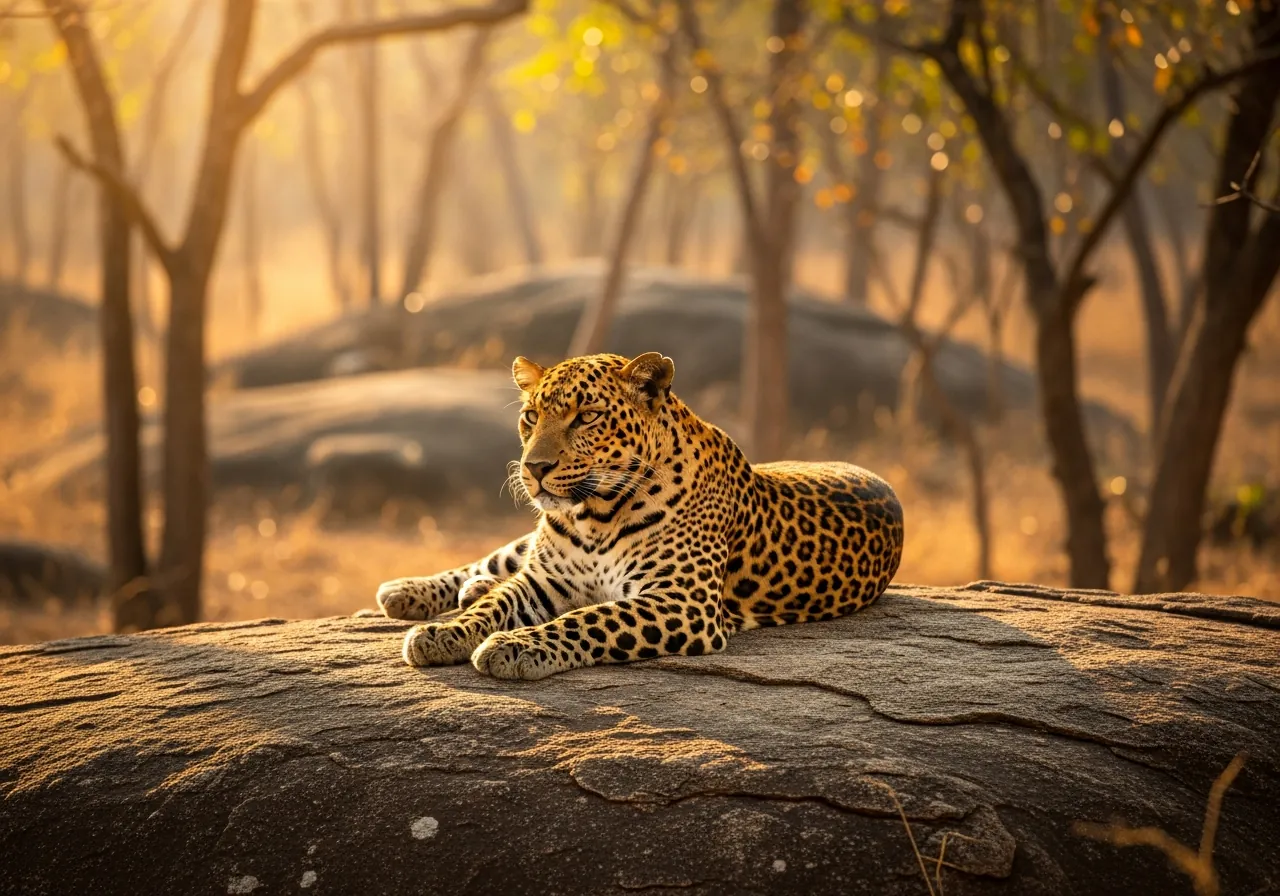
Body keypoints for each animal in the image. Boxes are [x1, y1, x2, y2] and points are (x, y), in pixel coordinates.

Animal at [375, 351, 904, 681]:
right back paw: (411, 591)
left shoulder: (682, 603)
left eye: (586, 417)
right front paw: (445, 633)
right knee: (493, 562)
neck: (595, 515)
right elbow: (496, 605)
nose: (534, 468)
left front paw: (516, 646)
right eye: (530, 416)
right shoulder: (543, 579)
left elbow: (589, 618)